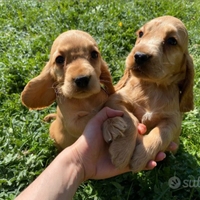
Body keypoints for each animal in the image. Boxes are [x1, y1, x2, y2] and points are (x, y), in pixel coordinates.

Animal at [102, 16, 195, 172]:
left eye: (172, 41)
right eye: (140, 34)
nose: (139, 56)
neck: (154, 87)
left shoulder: (174, 120)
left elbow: (162, 134)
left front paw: (141, 157)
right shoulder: (115, 100)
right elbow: (131, 119)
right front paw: (121, 152)